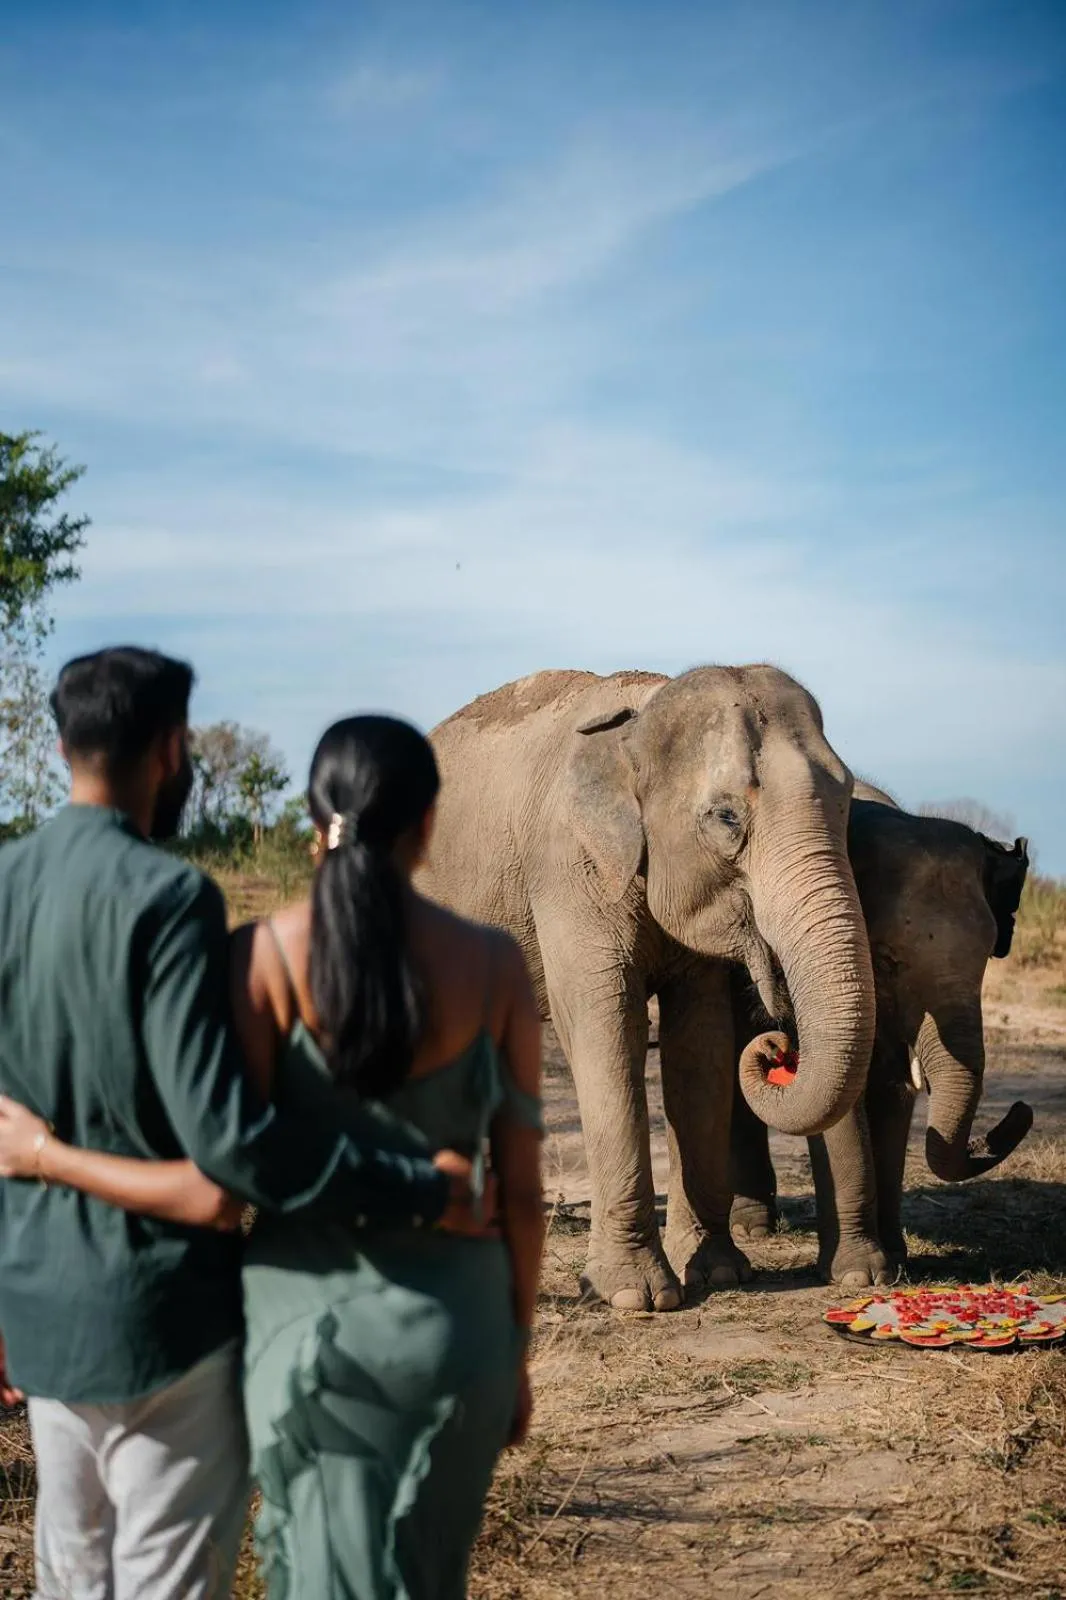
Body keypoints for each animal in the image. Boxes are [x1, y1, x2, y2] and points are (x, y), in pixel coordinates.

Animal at [418, 666, 876, 1311]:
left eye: (845, 803)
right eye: (726, 818)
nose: (781, 1046)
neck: (642, 714)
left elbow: (701, 1046)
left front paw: (719, 1274)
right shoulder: (568, 871)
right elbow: (609, 1028)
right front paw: (635, 1298)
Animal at [727, 794, 1032, 1286]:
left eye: (989, 954)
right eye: (887, 960)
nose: (1019, 1110)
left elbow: (890, 1087)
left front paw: (899, 1262)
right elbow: (841, 1095)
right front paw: (861, 1276)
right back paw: (750, 1228)